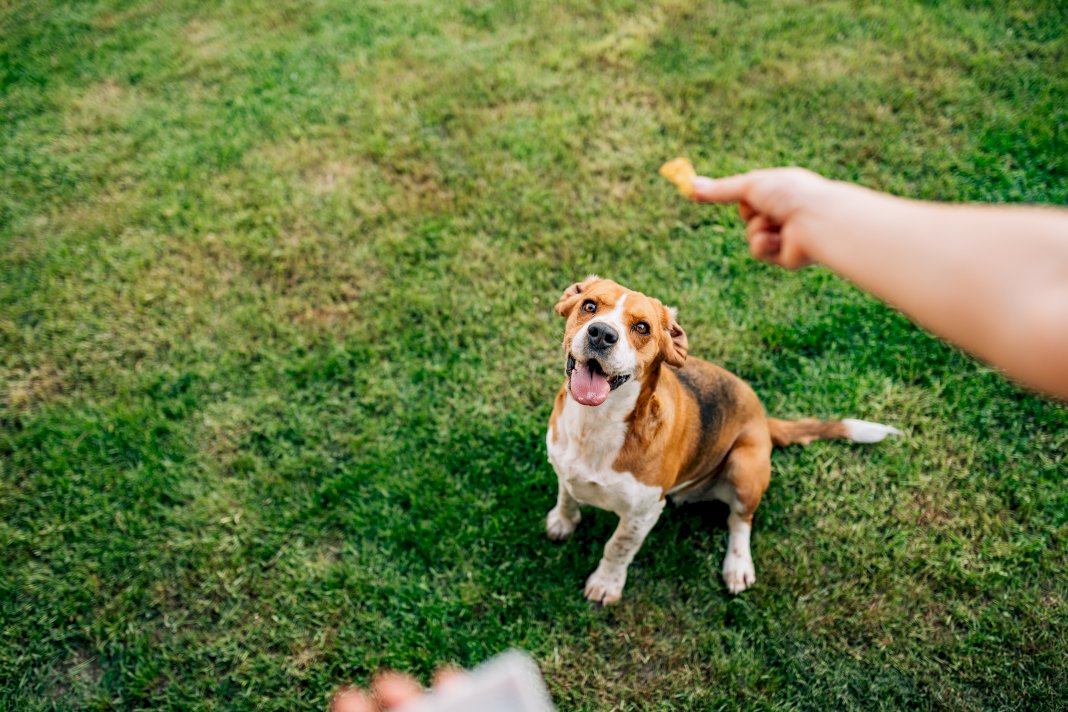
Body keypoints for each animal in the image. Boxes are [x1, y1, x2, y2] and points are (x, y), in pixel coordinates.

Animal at [542, 275, 901, 606]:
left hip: (744, 468)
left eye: (642, 327)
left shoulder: (643, 513)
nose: (602, 334)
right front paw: (563, 522)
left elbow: (617, 547)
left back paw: (737, 566)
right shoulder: (563, 466)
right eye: (589, 306)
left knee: (740, 520)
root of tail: (762, 419)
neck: (595, 424)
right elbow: (567, 495)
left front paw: (606, 584)